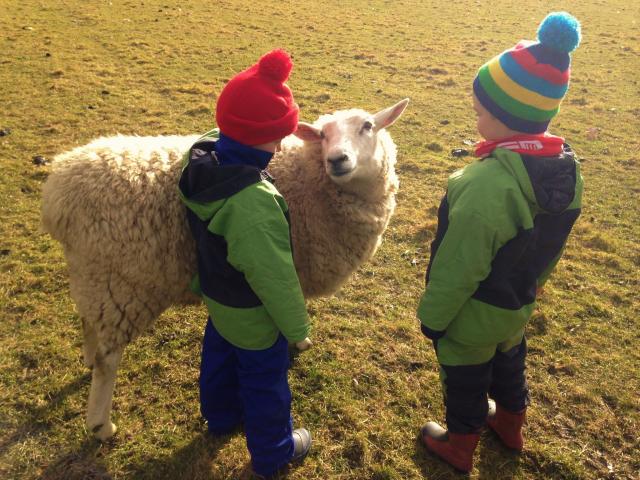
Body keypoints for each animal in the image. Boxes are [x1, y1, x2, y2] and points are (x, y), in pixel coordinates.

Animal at [41, 97, 410, 438]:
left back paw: (88, 359)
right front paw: (301, 341)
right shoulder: (290, 264)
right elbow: (291, 303)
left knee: (87, 321)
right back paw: (102, 424)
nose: (337, 159)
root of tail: (58, 198)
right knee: (109, 359)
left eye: (367, 126)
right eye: (322, 134)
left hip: (93, 278)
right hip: (120, 285)